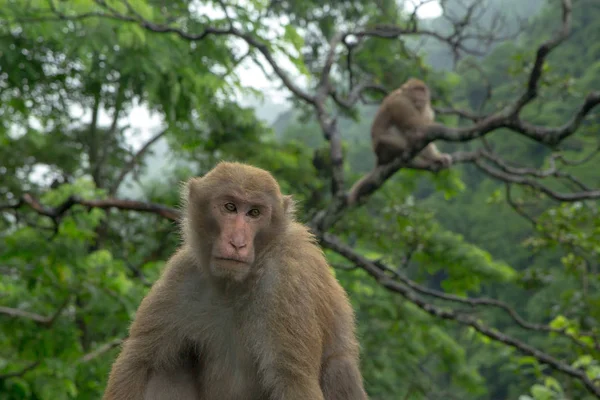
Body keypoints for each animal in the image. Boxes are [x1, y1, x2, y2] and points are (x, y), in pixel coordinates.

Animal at [103, 162, 368, 400]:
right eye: (230, 207)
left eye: (254, 213)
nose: (237, 242)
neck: (236, 285)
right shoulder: (183, 275)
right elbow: (139, 361)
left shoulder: (288, 280)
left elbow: (293, 382)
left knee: (338, 368)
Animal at [344, 77, 452, 205]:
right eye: (416, 90)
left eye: (422, 90)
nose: (421, 95)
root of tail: (378, 158)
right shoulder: (401, 104)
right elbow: (418, 129)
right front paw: (436, 153)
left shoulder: (428, 111)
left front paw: (437, 157)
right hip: (383, 147)